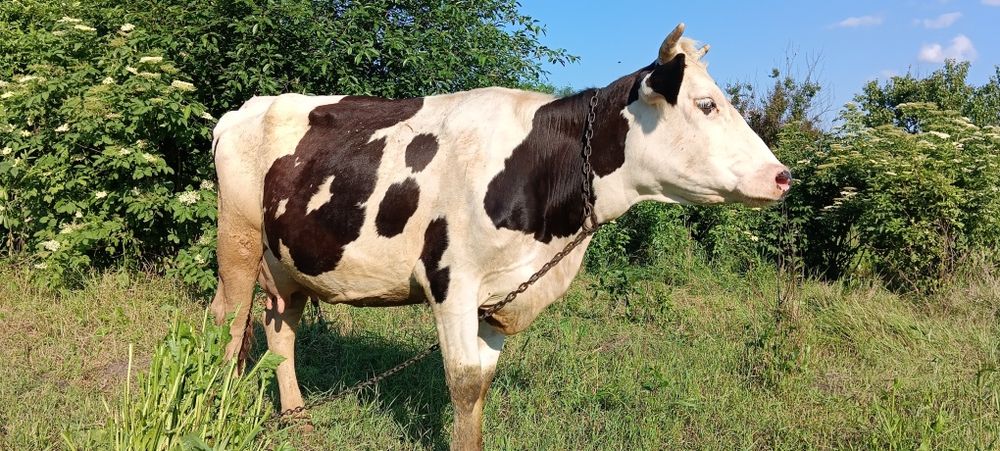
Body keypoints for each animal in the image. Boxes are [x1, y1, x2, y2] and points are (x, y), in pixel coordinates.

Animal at [209, 24, 791, 450]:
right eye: (707, 104)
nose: (783, 176)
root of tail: (246, 107)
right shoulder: (453, 281)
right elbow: (464, 382)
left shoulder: (503, 290)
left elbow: (482, 385)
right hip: (238, 236)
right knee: (230, 322)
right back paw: (218, 403)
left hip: (286, 259)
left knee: (278, 328)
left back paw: (296, 418)